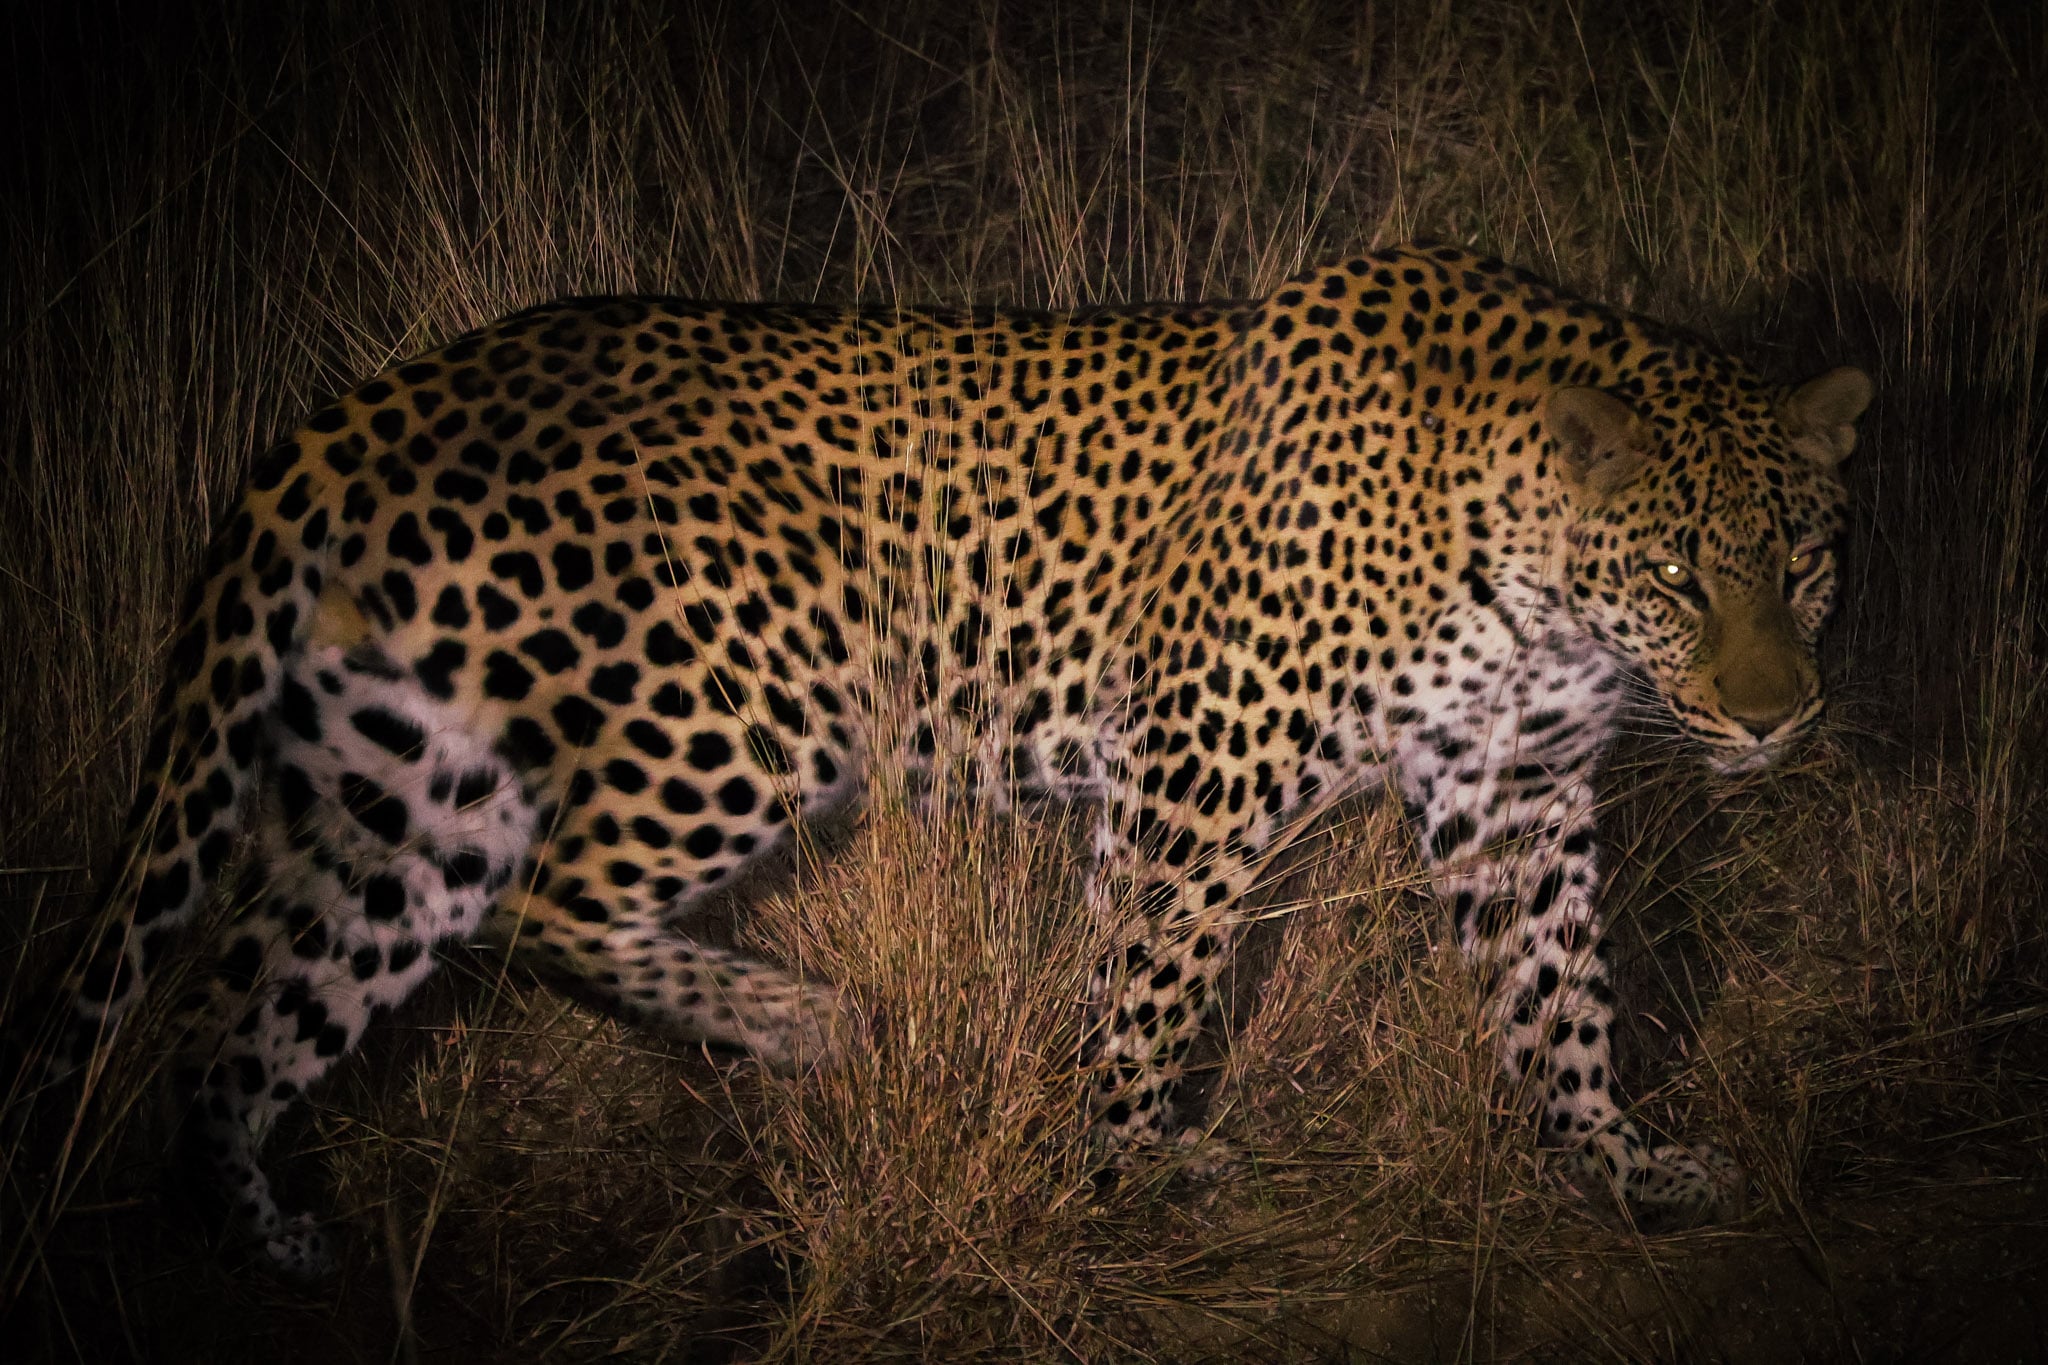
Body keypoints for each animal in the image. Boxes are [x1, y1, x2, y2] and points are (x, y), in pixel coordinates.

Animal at [46, 242, 1870, 1278]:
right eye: (1678, 572)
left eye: (1797, 561)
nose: (1775, 714)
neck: (1541, 587)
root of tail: (384, 394)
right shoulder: (1197, 762)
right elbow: (1149, 981)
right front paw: (1130, 1164)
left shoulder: (1513, 797)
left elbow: (1564, 998)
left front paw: (1619, 1171)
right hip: (745, 683)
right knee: (544, 897)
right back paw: (804, 1020)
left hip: (410, 778)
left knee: (250, 992)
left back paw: (262, 1234)